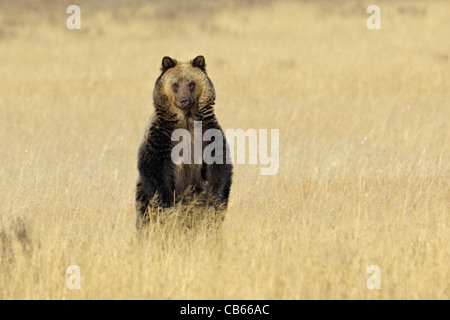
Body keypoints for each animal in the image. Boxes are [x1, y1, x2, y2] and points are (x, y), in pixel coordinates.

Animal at [135, 55, 234, 230]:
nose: (184, 100)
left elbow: (219, 169)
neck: (186, 119)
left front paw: (217, 204)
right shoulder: (161, 139)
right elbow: (154, 171)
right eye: (175, 84)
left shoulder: (208, 136)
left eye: (191, 84)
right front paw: (166, 208)